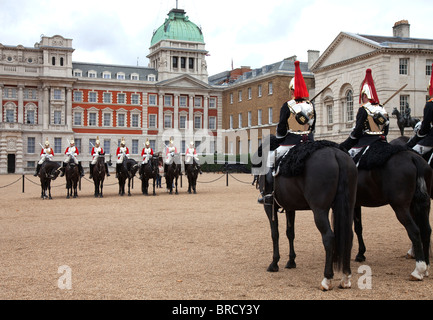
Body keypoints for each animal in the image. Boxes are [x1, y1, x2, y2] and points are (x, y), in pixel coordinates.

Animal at [255, 138, 356, 290]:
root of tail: (336, 154)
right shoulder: (290, 208)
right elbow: (290, 233)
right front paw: (291, 261)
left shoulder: (269, 207)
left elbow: (275, 234)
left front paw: (274, 263)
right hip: (348, 208)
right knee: (348, 236)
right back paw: (345, 278)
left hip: (319, 210)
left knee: (328, 237)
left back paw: (327, 279)